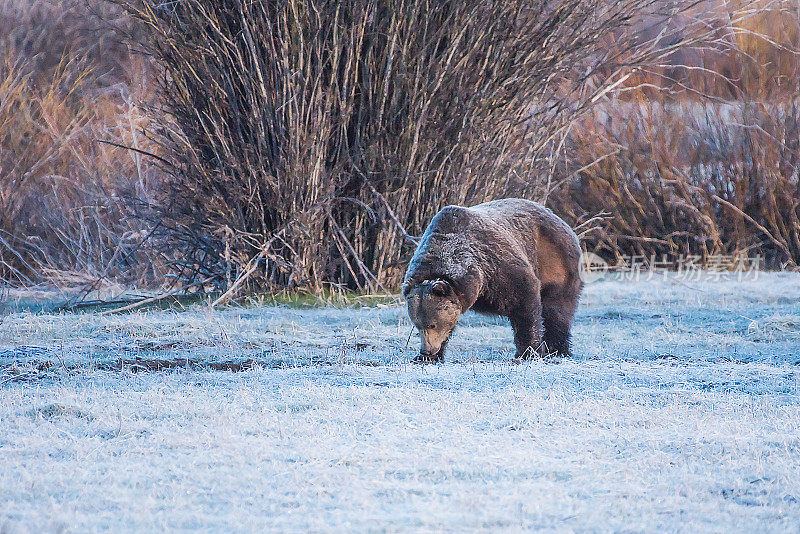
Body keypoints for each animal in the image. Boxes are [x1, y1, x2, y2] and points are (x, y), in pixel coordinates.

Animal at [404, 198, 584, 364]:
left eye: (432, 324)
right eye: (417, 326)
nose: (427, 350)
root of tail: (558, 217)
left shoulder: (499, 267)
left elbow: (525, 305)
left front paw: (527, 352)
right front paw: (425, 357)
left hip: (554, 260)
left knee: (557, 308)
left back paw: (558, 349)